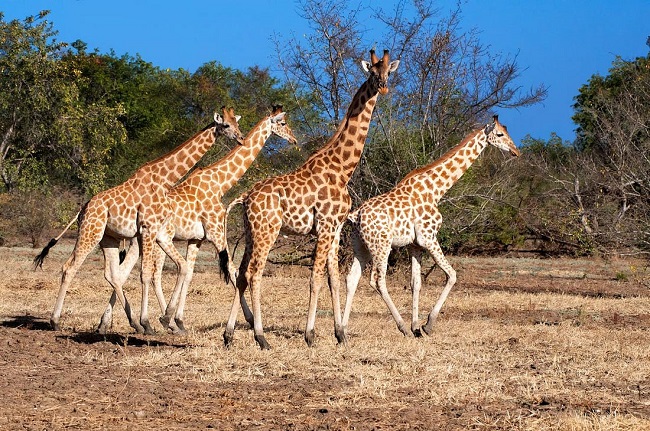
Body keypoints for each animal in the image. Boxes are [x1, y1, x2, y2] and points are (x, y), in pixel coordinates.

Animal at [34, 107, 244, 335]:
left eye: (237, 123)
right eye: (226, 125)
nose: (241, 138)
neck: (164, 180)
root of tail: (83, 209)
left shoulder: (150, 231)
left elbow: (152, 272)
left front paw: (151, 322)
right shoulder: (148, 228)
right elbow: (146, 274)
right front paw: (149, 322)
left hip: (109, 238)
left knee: (112, 275)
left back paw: (129, 322)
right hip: (91, 232)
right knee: (69, 267)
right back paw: (55, 321)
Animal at [96, 106, 298, 334]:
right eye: (282, 123)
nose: (293, 139)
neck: (220, 183)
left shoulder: (197, 239)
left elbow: (191, 273)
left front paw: (178, 320)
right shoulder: (216, 231)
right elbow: (233, 270)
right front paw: (249, 319)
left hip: (138, 241)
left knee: (122, 273)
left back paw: (107, 323)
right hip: (154, 241)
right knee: (147, 274)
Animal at [223, 49, 400, 349]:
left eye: (389, 71)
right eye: (372, 72)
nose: (384, 87)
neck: (342, 169)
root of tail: (246, 197)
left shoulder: (336, 228)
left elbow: (334, 279)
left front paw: (341, 334)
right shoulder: (326, 226)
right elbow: (315, 278)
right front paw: (310, 334)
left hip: (251, 232)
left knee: (241, 273)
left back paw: (229, 334)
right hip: (268, 231)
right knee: (254, 273)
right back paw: (261, 337)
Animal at [341, 115, 519, 338]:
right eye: (500, 134)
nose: (516, 151)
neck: (436, 190)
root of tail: (355, 215)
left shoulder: (415, 245)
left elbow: (416, 283)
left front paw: (416, 326)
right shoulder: (428, 237)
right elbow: (452, 275)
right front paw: (427, 324)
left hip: (361, 246)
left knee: (351, 279)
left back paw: (342, 332)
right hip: (381, 245)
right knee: (377, 280)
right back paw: (400, 327)